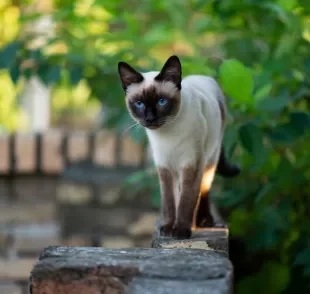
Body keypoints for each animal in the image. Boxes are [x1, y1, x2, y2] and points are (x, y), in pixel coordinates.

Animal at [117, 55, 241, 239]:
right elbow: (169, 201)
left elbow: (186, 200)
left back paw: (204, 222)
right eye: (139, 104)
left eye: (162, 102)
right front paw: (168, 229)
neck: (167, 135)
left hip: (210, 159)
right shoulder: (164, 166)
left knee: (204, 189)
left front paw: (181, 231)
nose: (150, 119)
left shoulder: (191, 164)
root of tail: (202, 77)